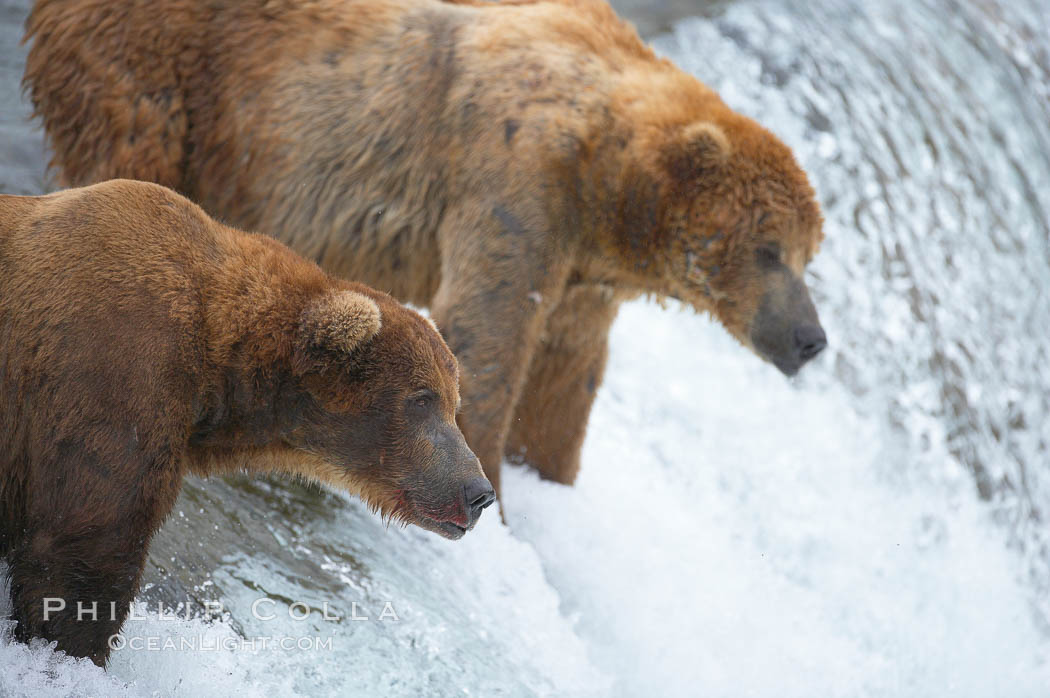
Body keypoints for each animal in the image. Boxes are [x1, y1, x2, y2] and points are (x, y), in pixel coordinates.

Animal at [22, 0, 827, 495]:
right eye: (770, 248)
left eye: (808, 250)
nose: (812, 337)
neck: (608, 179)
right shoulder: (516, 180)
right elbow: (490, 335)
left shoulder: (585, 275)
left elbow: (566, 378)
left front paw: (548, 475)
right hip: (159, 67)